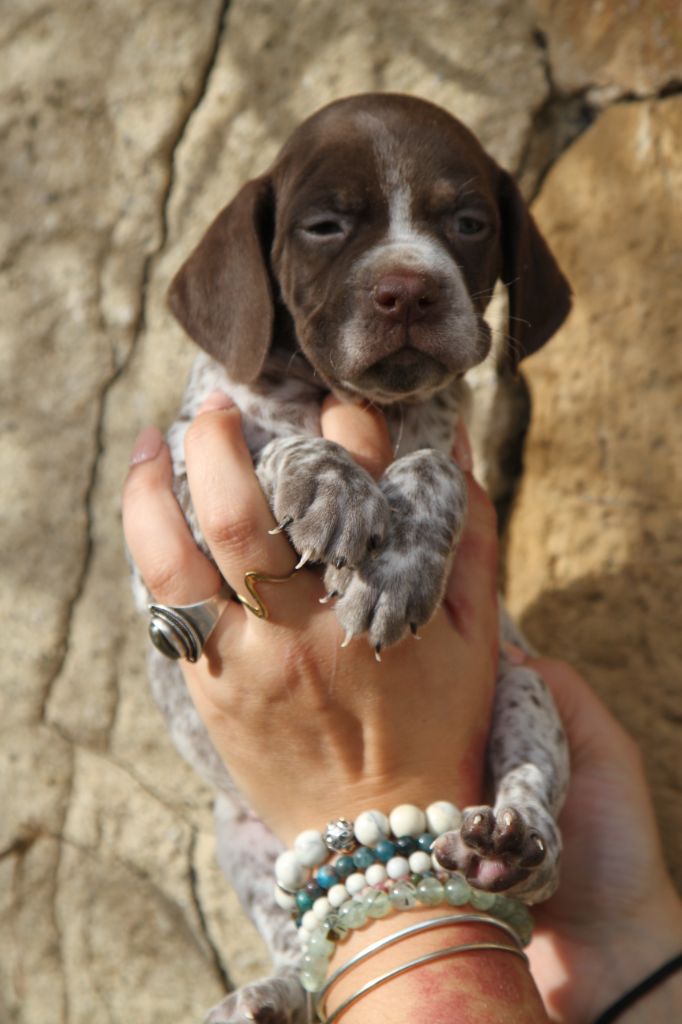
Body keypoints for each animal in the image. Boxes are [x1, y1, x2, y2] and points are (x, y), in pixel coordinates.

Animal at [140, 92, 569, 1019]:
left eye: (469, 223)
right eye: (326, 225)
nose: (408, 289)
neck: (340, 396)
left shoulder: (453, 445)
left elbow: (433, 467)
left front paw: (397, 560)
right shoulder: (188, 458)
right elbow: (266, 446)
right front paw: (328, 482)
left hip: (525, 687)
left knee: (539, 810)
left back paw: (513, 846)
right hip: (237, 840)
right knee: (294, 940)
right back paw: (270, 992)